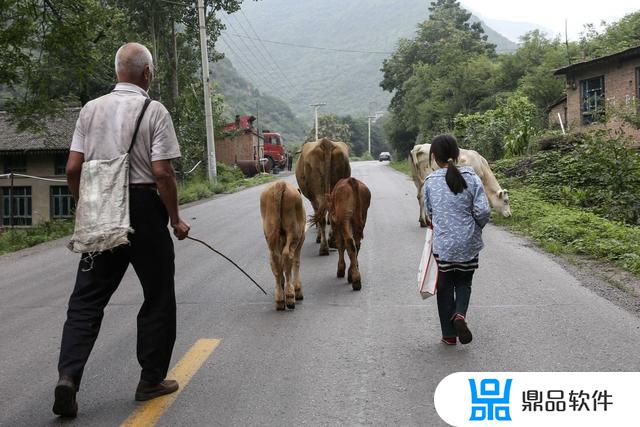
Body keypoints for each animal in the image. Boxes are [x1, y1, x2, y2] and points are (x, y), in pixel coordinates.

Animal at [258, 181, 306, 310]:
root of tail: (280, 183)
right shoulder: (301, 239)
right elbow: (296, 262)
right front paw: (298, 289)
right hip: (294, 232)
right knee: (288, 256)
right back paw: (290, 296)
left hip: (270, 231)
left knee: (275, 259)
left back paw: (280, 299)